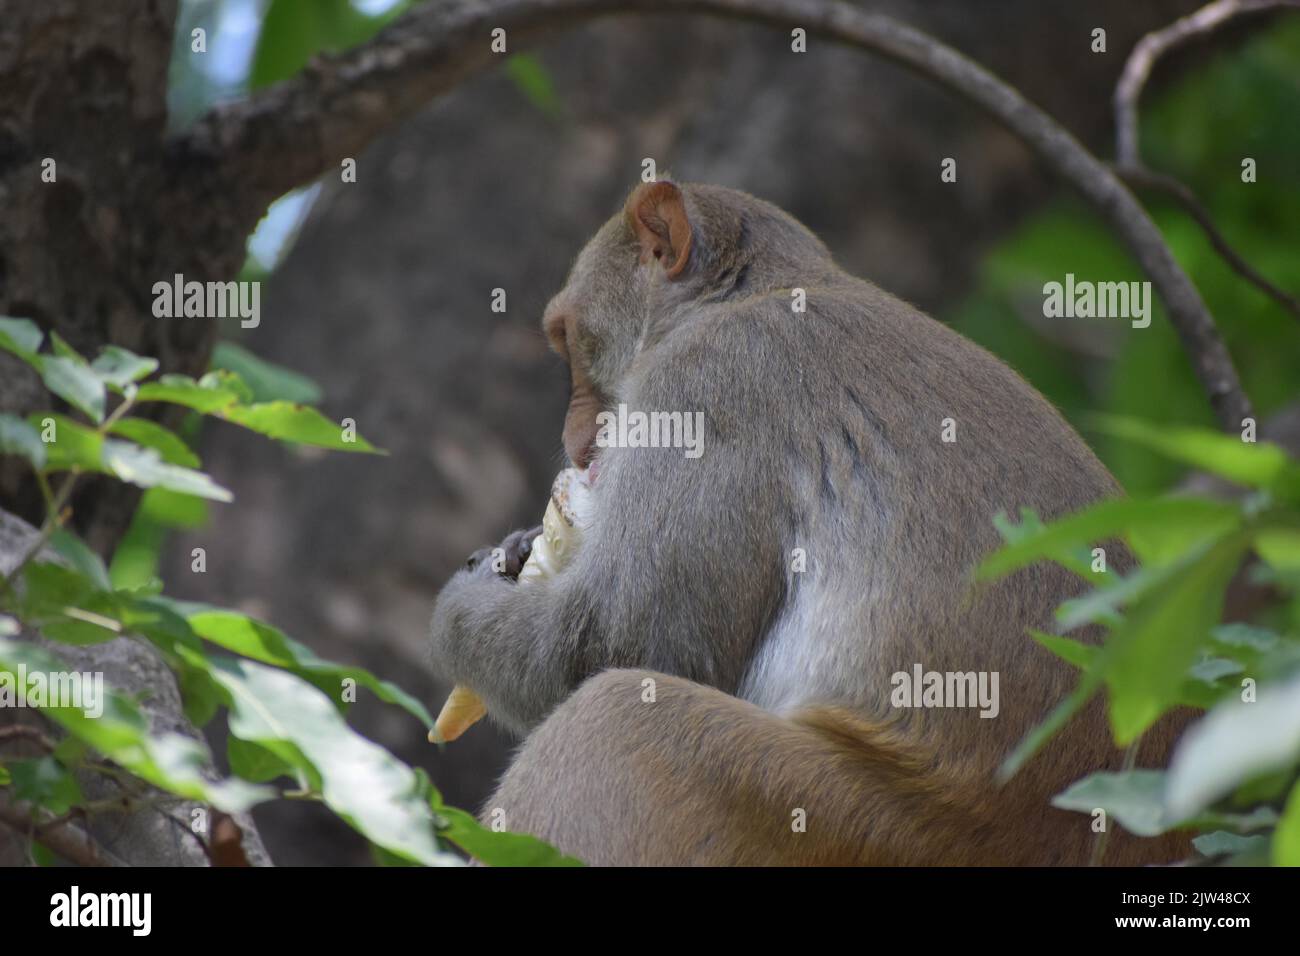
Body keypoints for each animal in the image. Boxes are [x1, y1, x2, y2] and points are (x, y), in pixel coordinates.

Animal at [431, 179, 1190, 868]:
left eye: (567, 340)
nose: (578, 441)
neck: (753, 295)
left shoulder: (708, 385)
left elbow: (622, 644)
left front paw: (461, 606)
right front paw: (516, 552)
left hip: (850, 821)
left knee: (616, 713)